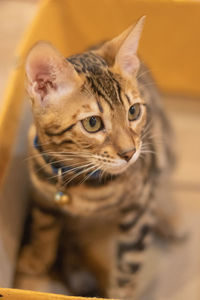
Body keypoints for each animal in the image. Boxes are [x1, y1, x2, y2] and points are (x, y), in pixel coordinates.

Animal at [16, 17, 180, 300]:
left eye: (133, 111)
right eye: (92, 123)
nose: (129, 153)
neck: (77, 179)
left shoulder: (138, 210)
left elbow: (127, 266)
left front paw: (119, 293)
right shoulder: (42, 193)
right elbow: (43, 227)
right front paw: (36, 259)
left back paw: (169, 220)